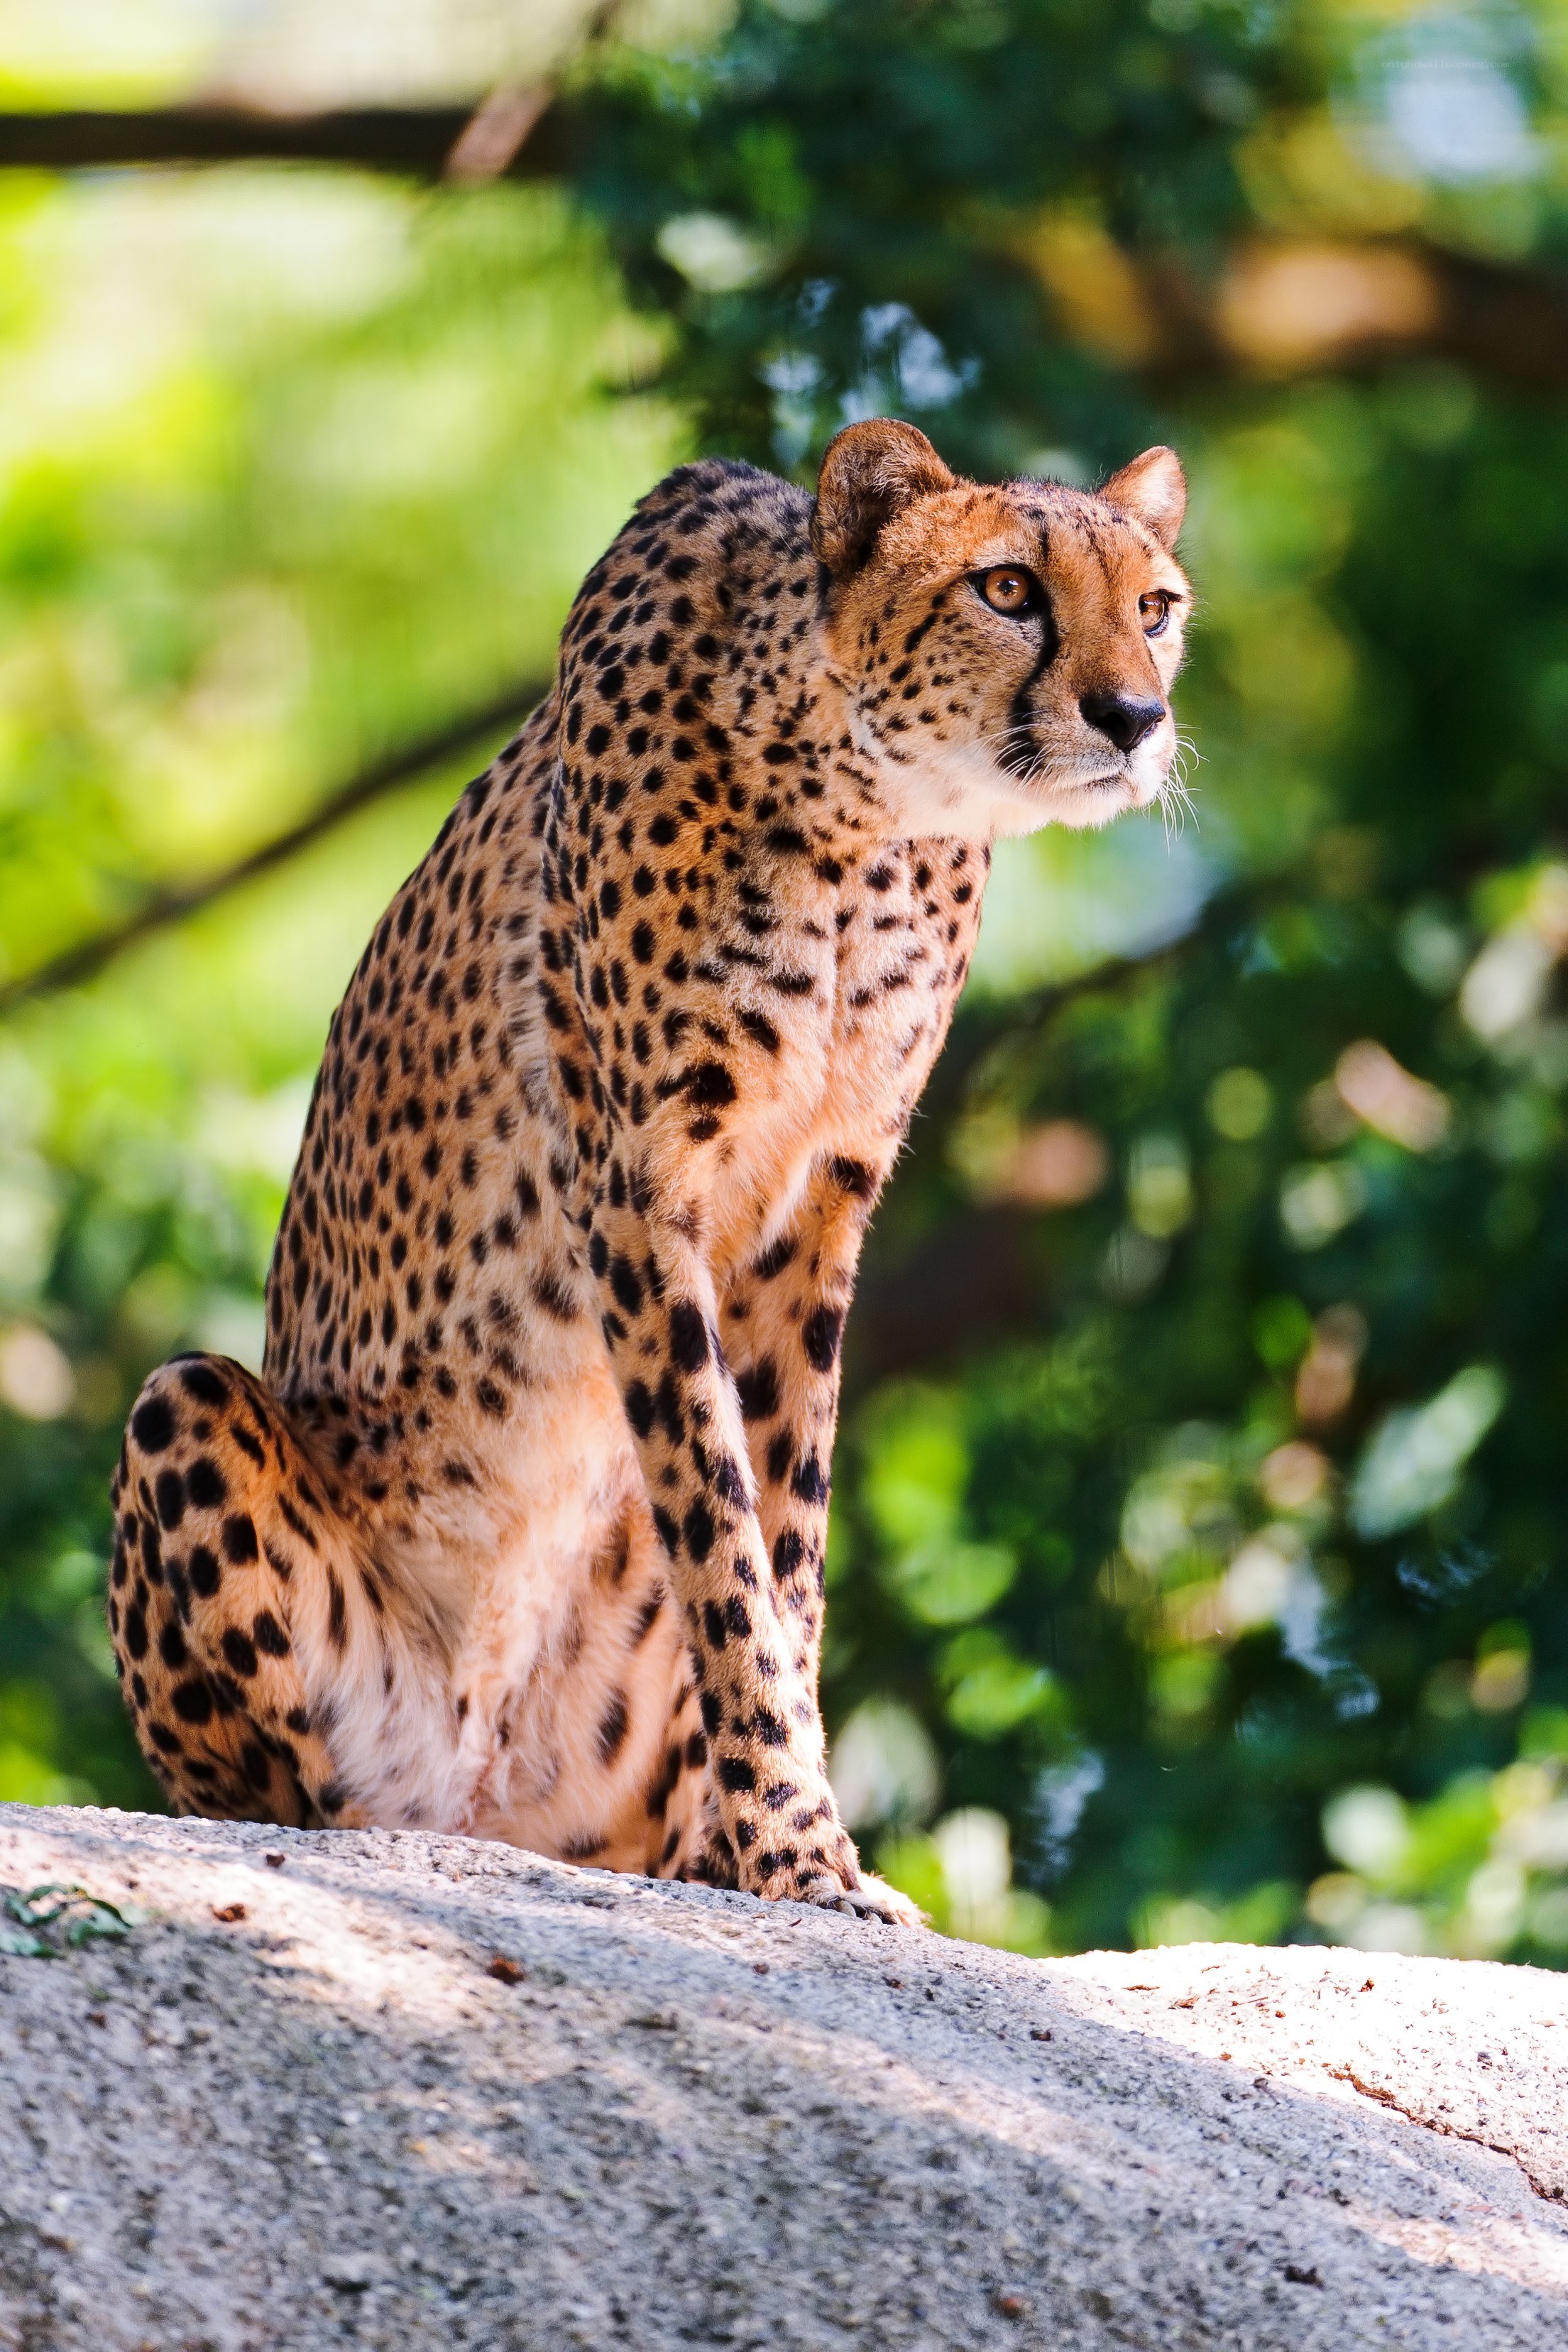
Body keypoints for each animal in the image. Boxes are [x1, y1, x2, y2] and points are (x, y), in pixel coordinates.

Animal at [108, 417, 1190, 1922]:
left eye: (1155, 608)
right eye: (1007, 590)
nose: (1132, 715)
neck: (869, 811)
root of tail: (490, 1801)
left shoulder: (816, 1206)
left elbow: (784, 1543)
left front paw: (759, 1846)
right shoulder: (637, 1187)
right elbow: (718, 1528)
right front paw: (797, 1846)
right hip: (193, 1418)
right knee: (287, 1794)